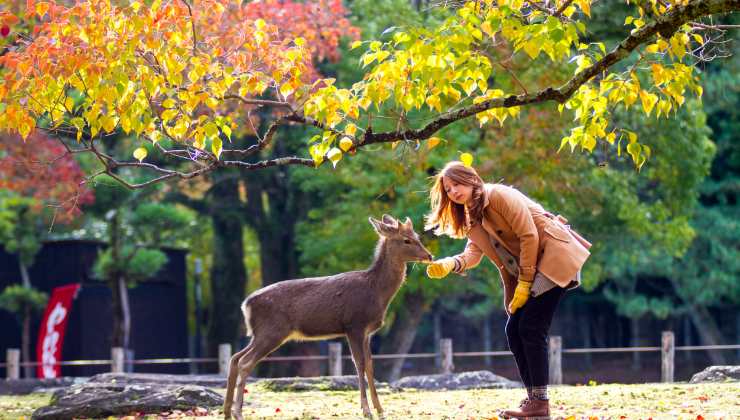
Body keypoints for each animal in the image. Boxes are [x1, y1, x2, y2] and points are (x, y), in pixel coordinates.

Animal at [224, 215, 434, 418]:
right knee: (245, 362)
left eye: (417, 236)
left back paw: (227, 411)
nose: (429, 255)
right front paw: (366, 410)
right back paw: (237, 412)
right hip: (272, 331)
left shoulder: (367, 332)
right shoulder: (354, 325)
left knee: (234, 357)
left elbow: (370, 365)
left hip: (259, 333)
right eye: (406, 240)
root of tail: (246, 304)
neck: (376, 292)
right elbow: (359, 364)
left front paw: (380, 409)